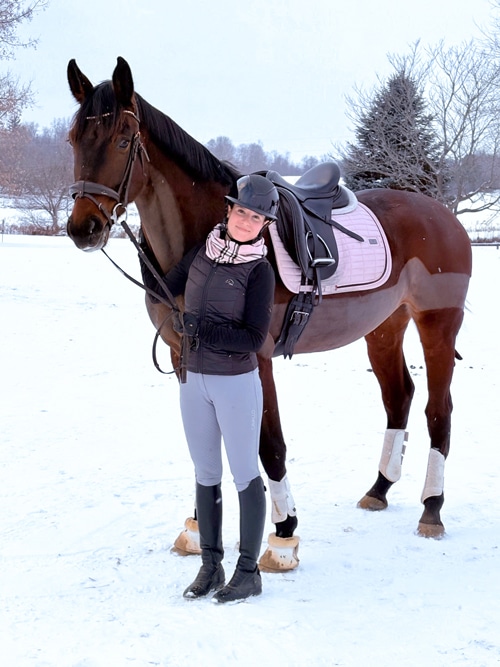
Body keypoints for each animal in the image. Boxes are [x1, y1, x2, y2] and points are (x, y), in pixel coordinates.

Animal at [66, 57, 472, 567]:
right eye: (74, 138)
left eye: (123, 139)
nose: (83, 228)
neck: (211, 242)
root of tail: (444, 216)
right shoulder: (186, 355)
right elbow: (206, 438)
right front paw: (198, 527)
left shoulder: (254, 358)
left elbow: (268, 443)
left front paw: (284, 533)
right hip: (383, 328)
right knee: (399, 397)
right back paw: (379, 488)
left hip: (438, 324)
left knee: (440, 410)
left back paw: (432, 508)